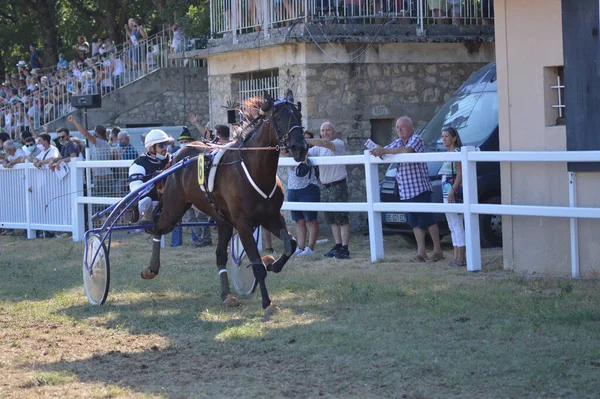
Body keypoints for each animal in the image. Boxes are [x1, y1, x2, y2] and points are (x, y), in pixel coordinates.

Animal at [137, 92, 304, 310]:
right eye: (278, 117)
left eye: (299, 115)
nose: (300, 148)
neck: (255, 170)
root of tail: (176, 157)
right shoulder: (243, 223)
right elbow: (257, 265)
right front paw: (266, 302)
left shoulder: (271, 216)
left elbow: (291, 243)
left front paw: (273, 264)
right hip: (175, 207)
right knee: (158, 227)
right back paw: (151, 268)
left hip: (221, 220)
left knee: (220, 255)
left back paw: (226, 294)